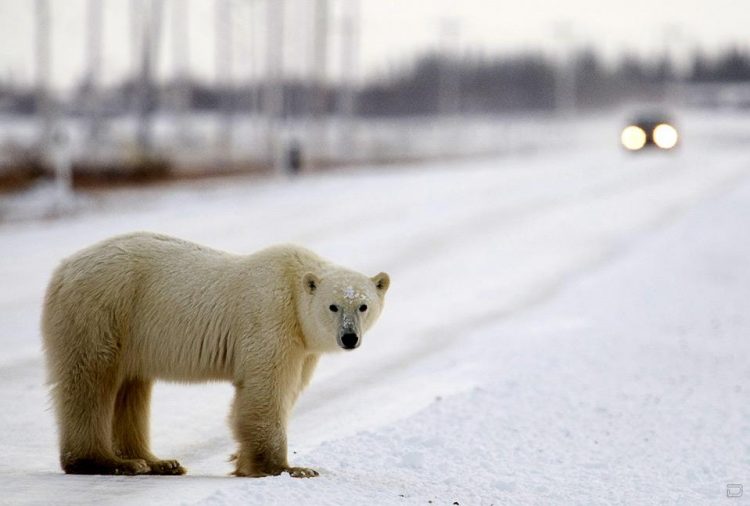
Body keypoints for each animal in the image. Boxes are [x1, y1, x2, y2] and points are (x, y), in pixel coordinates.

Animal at [39, 233, 394, 478]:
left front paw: (242, 460)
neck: (294, 290)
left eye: (363, 306)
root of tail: (62, 269)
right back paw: (107, 462)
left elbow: (288, 390)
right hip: (102, 311)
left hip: (127, 332)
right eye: (333, 306)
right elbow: (267, 389)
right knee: (91, 382)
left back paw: (158, 462)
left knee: (131, 389)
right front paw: (289, 468)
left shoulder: (302, 346)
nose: (349, 337)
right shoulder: (271, 319)